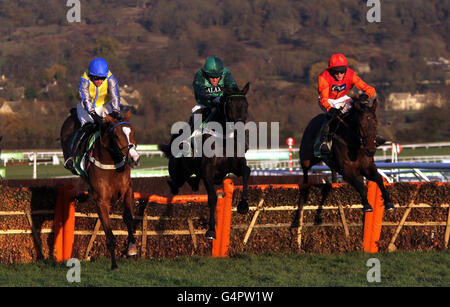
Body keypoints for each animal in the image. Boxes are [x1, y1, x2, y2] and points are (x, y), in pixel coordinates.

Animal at [59, 110, 140, 270]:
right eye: (116, 135)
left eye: (132, 132)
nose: (134, 159)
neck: (112, 165)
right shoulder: (101, 201)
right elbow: (109, 235)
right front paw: (114, 264)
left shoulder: (128, 190)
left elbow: (128, 217)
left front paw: (132, 248)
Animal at [158, 83, 251, 241]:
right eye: (230, 105)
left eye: (246, 105)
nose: (238, 130)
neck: (223, 139)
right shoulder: (208, 172)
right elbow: (212, 198)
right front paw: (211, 231)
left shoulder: (236, 165)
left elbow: (246, 172)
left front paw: (243, 205)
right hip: (178, 173)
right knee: (175, 183)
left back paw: (193, 183)